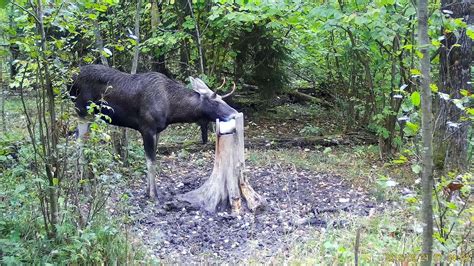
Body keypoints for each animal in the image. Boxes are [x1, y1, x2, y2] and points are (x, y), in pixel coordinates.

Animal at [70, 64, 237, 197]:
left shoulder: (157, 131)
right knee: (78, 145)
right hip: (82, 113)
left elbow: (152, 159)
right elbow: (151, 161)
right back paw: (83, 187)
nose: (234, 113)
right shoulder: (147, 128)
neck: (172, 110)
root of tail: (72, 81)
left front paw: (147, 190)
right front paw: (153, 194)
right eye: (215, 101)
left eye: (222, 99)